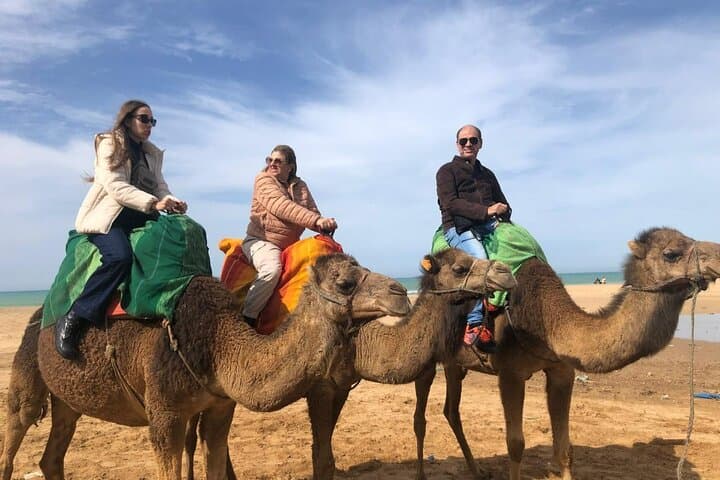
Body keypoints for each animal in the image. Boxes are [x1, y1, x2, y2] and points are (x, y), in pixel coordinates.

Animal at [0, 253, 411, 480]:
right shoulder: (164, 414)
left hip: (66, 400)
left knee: (53, 453)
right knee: (17, 425)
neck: (217, 343)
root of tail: (40, 314)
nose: (400, 292)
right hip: (27, 366)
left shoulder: (218, 408)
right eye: (345, 283)